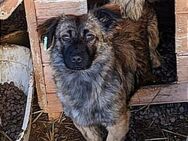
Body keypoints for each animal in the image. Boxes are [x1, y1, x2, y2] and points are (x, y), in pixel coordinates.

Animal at [37, 2, 159, 141]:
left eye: (90, 36)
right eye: (65, 37)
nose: (76, 58)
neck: (82, 80)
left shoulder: (118, 123)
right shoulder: (82, 123)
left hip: (153, 37)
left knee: (154, 53)